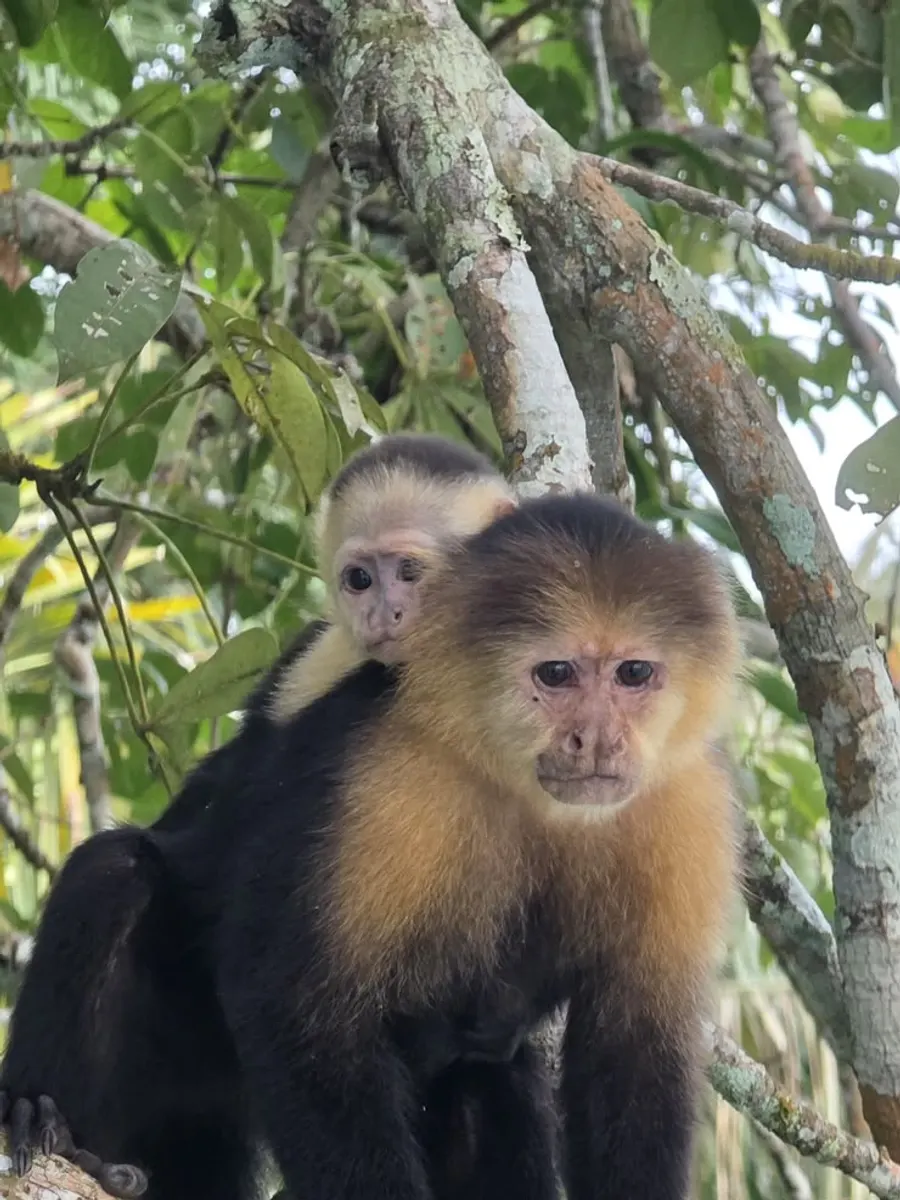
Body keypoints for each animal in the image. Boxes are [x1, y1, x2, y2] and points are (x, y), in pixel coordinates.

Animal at [0, 433, 522, 1198]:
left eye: (410, 572)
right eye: (359, 579)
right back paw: (46, 1120)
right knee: (115, 875)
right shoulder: (323, 671)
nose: (385, 616)